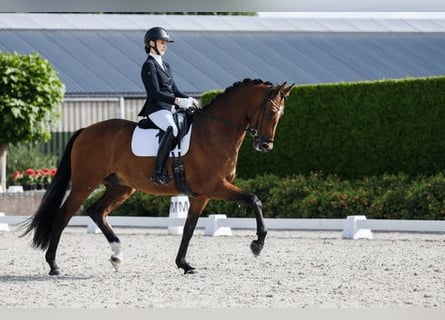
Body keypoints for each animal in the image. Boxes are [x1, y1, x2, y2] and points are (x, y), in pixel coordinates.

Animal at [23, 78, 294, 276]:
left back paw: (117, 255)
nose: (265, 145)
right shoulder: (215, 186)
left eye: (282, 115)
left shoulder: (202, 194)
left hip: (121, 187)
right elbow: (254, 199)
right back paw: (54, 265)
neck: (216, 131)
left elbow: (189, 228)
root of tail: (85, 130)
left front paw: (184, 264)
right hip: (84, 183)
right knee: (64, 215)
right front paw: (257, 244)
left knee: (97, 211)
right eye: (271, 111)